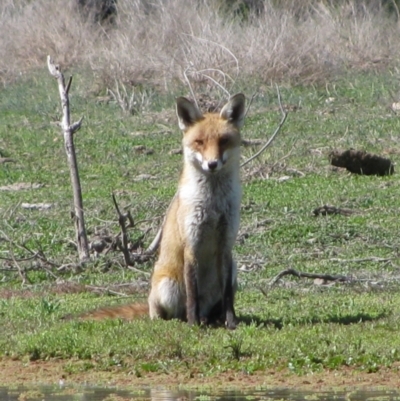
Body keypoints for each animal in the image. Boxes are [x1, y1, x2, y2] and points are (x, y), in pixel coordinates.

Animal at [82, 94, 245, 328]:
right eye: (199, 142)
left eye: (223, 141)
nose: (212, 164)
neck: (213, 204)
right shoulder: (191, 243)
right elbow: (192, 294)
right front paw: (194, 325)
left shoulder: (226, 244)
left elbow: (228, 297)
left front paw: (231, 323)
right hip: (168, 287)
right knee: (171, 313)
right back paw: (185, 320)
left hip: (234, 270)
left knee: (213, 305)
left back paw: (212, 319)